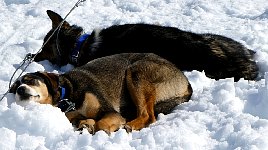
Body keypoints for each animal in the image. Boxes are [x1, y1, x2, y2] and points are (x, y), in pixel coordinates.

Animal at [8, 53, 193, 134]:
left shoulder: (110, 111)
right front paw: (86, 124)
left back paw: (130, 125)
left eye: (30, 80)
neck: (67, 96)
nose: (20, 89)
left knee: (148, 115)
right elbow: (86, 121)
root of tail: (184, 79)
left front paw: (98, 127)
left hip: (136, 72)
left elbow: (102, 124)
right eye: (14, 87)